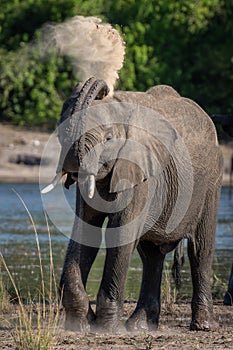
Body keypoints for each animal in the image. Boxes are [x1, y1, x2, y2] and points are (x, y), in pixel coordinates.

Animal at [42, 77, 223, 334]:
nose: (103, 88)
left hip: (211, 180)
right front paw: (80, 325)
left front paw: (107, 330)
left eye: (108, 139)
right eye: (61, 133)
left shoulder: (140, 170)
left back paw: (203, 326)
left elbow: (121, 233)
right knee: (151, 255)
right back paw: (140, 327)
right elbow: (86, 230)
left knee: (200, 249)